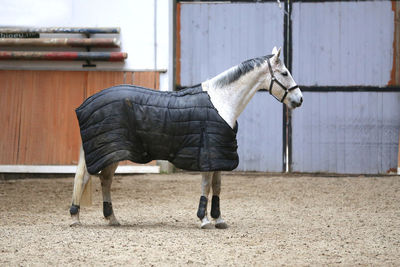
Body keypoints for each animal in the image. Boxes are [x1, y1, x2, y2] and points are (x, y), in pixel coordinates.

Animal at [70, 46, 304, 230]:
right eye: (284, 73)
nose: (299, 99)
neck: (221, 102)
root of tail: (86, 104)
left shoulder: (218, 157)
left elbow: (217, 186)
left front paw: (219, 219)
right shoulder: (208, 154)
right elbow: (206, 186)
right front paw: (204, 220)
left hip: (112, 152)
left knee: (104, 180)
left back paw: (112, 218)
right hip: (108, 150)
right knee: (85, 178)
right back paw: (75, 218)